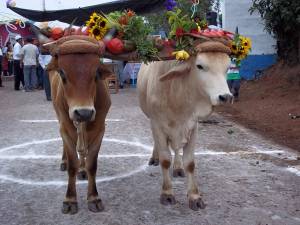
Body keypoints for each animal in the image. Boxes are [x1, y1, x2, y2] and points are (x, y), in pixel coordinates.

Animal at [46, 36, 112, 214]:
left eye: (96, 73)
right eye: (62, 72)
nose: (83, 113)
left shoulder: (100, 129)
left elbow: (92, 165)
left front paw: (94, 197)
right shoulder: (66, 127)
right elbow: (72, 165)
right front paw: (70, 200)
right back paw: (64, 162)